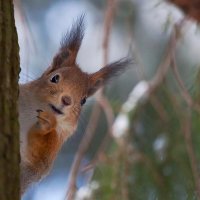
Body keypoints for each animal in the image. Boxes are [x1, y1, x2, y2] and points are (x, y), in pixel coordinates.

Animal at [19, 16, 131, 195]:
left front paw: (46, 125)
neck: (30, 113)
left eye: (83, 100)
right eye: (55, 78)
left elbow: (40, 160)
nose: (66, 100)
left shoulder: (50, 152)